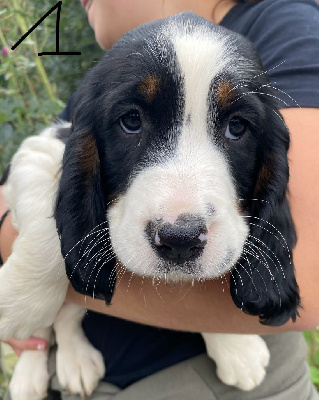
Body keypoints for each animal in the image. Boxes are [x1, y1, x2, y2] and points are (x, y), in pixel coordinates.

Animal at [0, 12, 302, 400]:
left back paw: (74, 361)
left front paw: (237, 348)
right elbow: (44, 205)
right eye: (131, 121)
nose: (180, 239)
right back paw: (30, 374)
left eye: (237, 127)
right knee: (46, 332)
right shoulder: (36, 151)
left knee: (68, 318)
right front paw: (20, 300)